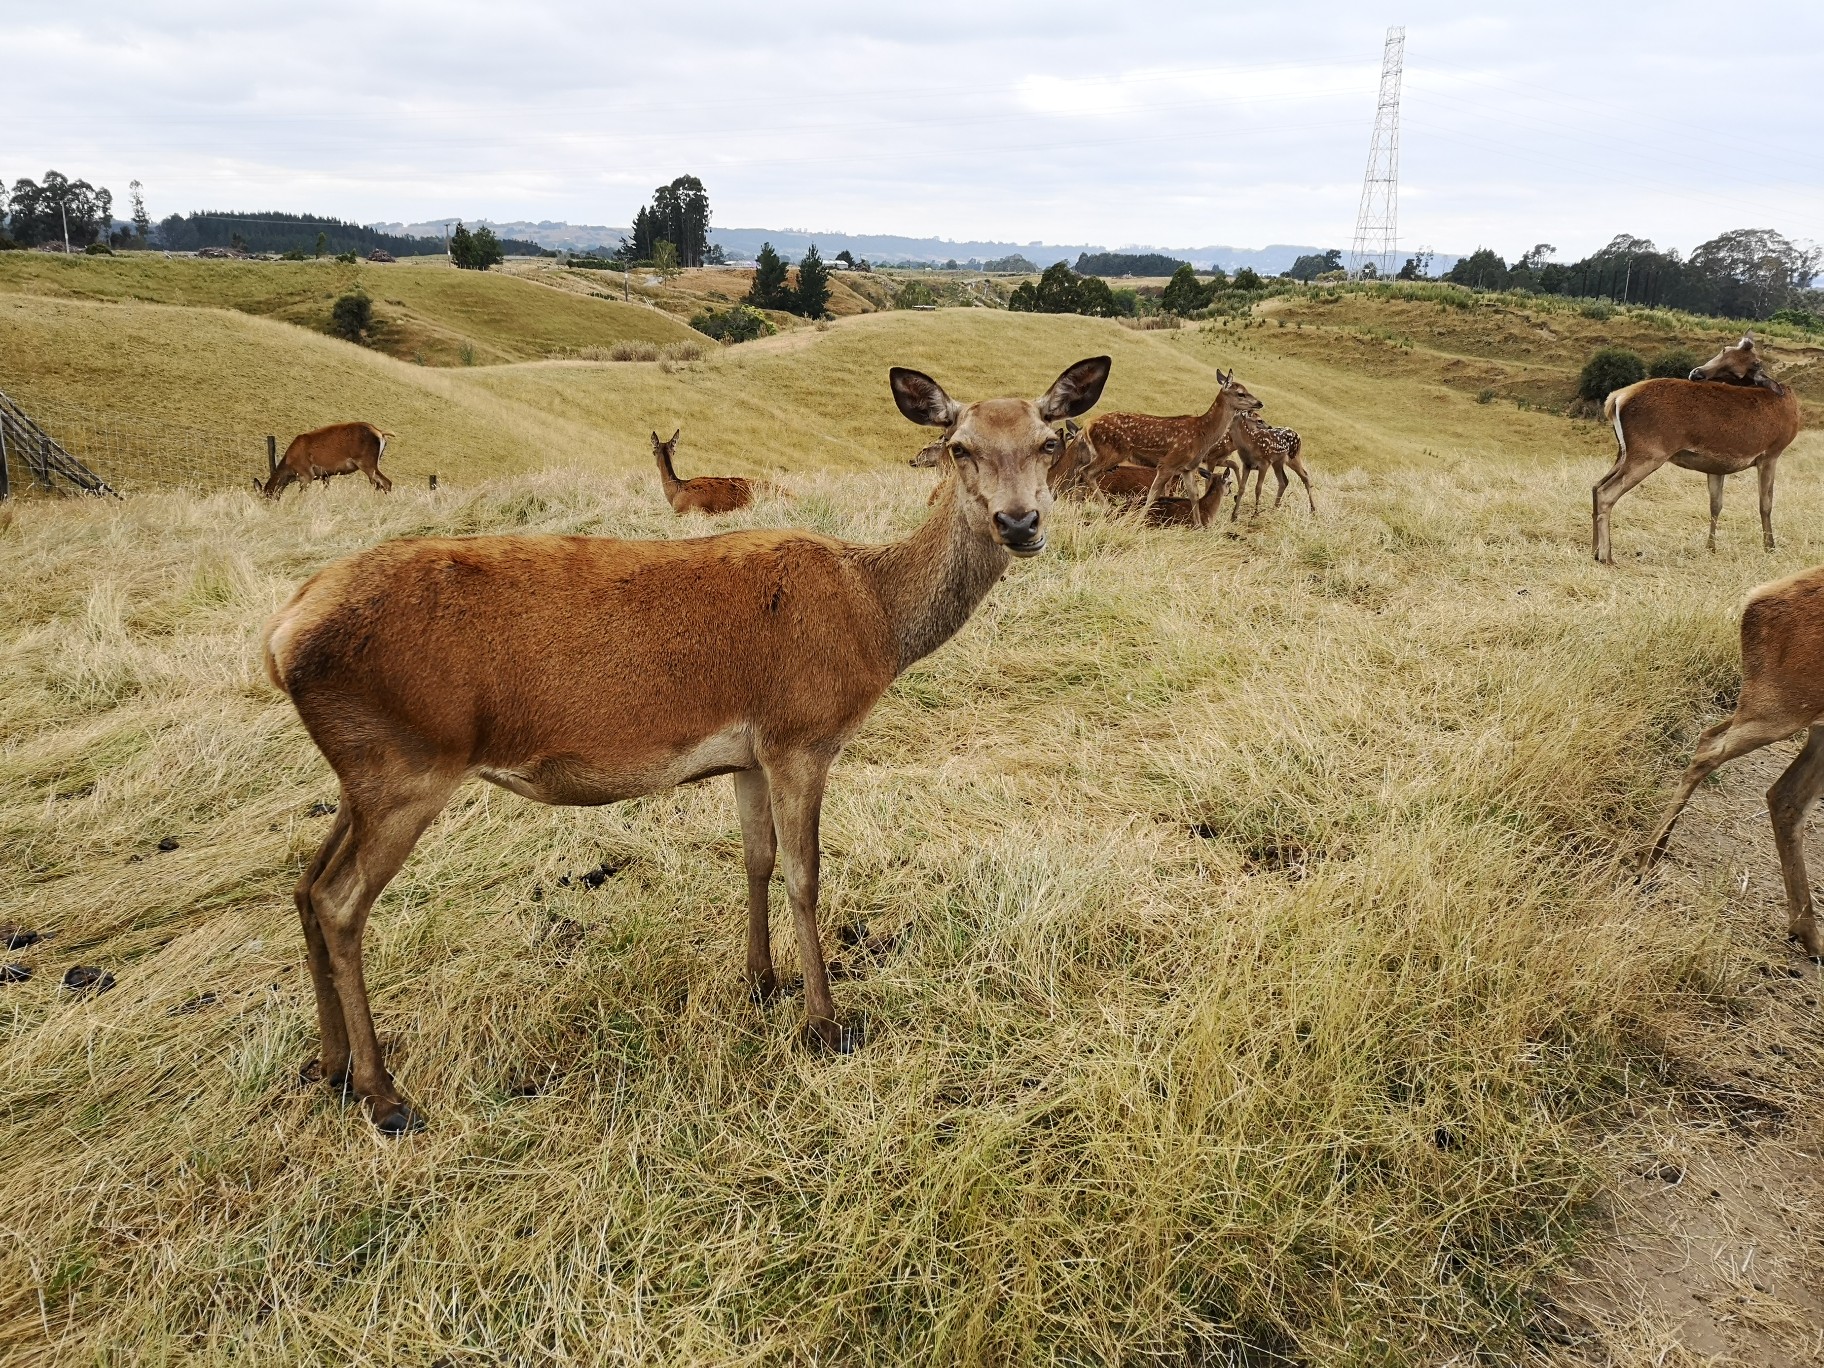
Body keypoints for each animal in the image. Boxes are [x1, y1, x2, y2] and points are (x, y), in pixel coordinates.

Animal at [260, 426, 392, 499]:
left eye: (266, 496)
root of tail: (380, 433)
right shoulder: (325, 475)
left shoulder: (307, 474)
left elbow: (301, 496)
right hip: (373, 464)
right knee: (378, 484)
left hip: (366, 462)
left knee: (387, 483)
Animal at [1072, 370, 1262, 525]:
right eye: (1241, 393)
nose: (1260, 403)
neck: (1203, 433)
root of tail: (1088, 424)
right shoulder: (1168, 463)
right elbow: (1153, 494)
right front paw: (1139, 520)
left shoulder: (1187, 467)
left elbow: (1193, 494)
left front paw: (1199, 525)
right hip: (1112, 451)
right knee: (1086, 472)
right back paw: (1108, 509)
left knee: (1080, 473)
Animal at [1590, 337, 1802, 569]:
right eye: (1724, 350)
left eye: (1740, 371)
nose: (1696, 374)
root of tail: (1615, 398)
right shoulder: (1771, 453)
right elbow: (1766, 503)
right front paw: (1770, 547)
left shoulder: (1718, 465)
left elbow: (1715, 505)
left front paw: (1711, 547)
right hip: (1648, 452)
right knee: (1606, 492)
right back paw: (1607, 556)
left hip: (1623, 451)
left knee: (1596, 486)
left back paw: (1594, 551)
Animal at [1648, 561, 1824, 955]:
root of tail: (1758, 597)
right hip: (1778, 709)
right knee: (1709, 749)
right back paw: (1645, 858)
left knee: (1782, 795)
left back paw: (1808, 934)